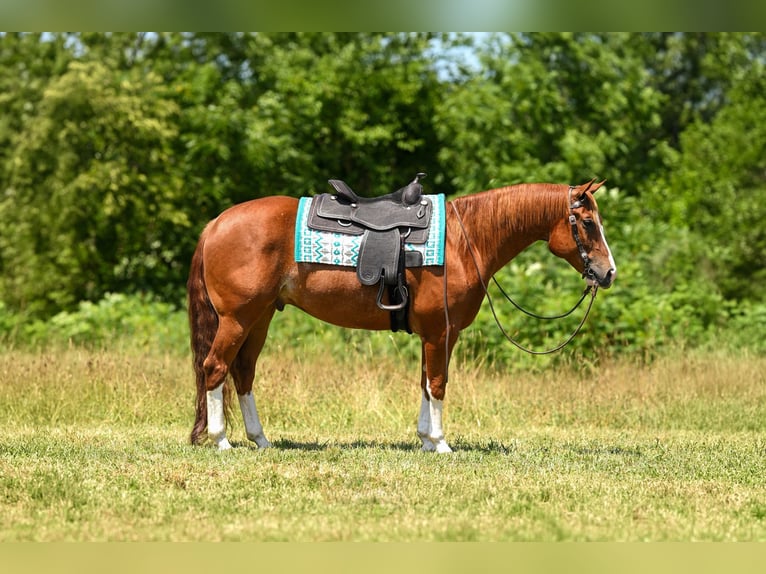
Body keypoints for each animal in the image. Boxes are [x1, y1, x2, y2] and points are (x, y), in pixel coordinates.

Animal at [187, 179, 616, 453]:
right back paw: (221, 440)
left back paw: (260, 440)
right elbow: (438, 383)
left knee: (243, 373)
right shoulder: (441, 332)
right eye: (588, 223)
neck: (464, 241)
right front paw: (441, 444)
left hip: (259, 318)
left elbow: (425, 384)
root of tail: (216, 224)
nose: (608, 272)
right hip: (237, 319)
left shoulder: (434, 334)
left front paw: (425, 438)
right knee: (215, 368)